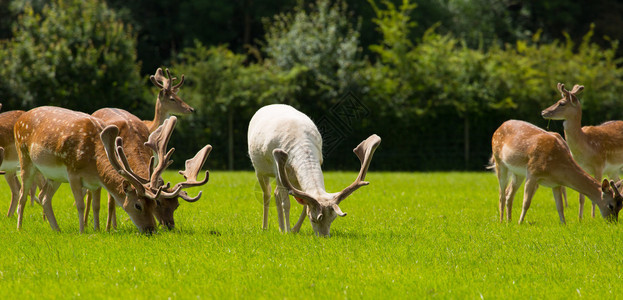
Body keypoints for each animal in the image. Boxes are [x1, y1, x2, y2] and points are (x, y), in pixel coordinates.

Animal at [13, 106, 210, 233]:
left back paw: (57, 229)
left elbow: (97, 205)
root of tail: (20, 119)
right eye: (138, 205)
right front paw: (84, 231)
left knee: (43, 197)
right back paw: (20, 227)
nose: (151, 230)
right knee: (23, 194)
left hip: (53, 177)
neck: (94, 159)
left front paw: (98, 229)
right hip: (25, 159)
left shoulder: (95, 182)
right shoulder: (73, 173)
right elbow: (81, 204)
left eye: (153, 203)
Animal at [247, 104, 380, 236]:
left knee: (275, 193)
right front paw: (288, 231)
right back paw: (266, 227)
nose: (324, 237)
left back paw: (280, 228)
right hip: (260, 170)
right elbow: (287, 203)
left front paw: (295, 229)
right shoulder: (277, 170)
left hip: (292, 179)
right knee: (267, 194)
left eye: (333, 219)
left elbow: (304, 205)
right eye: (313, 219)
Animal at [490, 119, 620, 223]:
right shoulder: (532, 172)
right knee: (501, 194)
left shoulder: (555, 183)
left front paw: (564, 224)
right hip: (499, 162)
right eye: (611, 206)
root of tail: (499, 127)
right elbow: (526, 202)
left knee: (509, 193)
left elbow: (560, 206)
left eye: (621, 206)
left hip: (518, 173)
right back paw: (502, 221)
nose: (613, 222)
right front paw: (520, 223)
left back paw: (509, 220)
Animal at [540, 83, 623, 219]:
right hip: (613, 169)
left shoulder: (599, 165)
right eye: (557, 100)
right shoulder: (582, 167)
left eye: (562, 103)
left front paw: (593, 217)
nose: (543, 112)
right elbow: (581, 198)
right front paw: (580, 218)